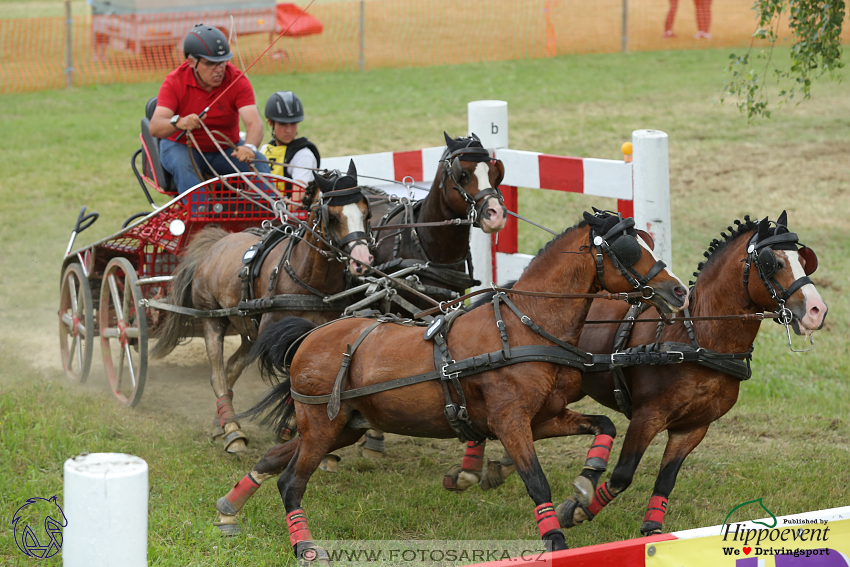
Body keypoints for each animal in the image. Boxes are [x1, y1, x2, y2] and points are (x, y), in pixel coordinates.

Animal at [148, 162, 372, 454]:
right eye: (332, 216)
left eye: (366, 212)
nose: (362, 262)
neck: (309, 280)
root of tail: (217, 242)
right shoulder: (274, 338)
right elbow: (293, 376)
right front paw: (292, 428)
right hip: (212, 320)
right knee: (218, 375)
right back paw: (233, 431)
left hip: (247, 330)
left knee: (231, 367)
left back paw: (221, 422)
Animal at [212, 212, 688, 556]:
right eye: (630, 248)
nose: (679, 292)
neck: (525, 327)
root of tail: (309, 337)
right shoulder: (511, 421)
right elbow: (536, 481)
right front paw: (555, 540)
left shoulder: (545, 417)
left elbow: (603, 427)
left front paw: (588, 481)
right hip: (321, 425)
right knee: (291, 483)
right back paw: (305, 546)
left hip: (342, 426)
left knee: (274, 459)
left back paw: (229, 510)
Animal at [440, 212, 824, 536]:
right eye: (774, 262)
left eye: (804, 260)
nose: (817, 310)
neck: (698, 338)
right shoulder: (648, 415)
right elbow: (623, 474)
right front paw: (576, 510)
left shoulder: (693, 428)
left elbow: (665, 480)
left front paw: (653, 529)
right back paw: (472, 463)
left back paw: (496, 463)